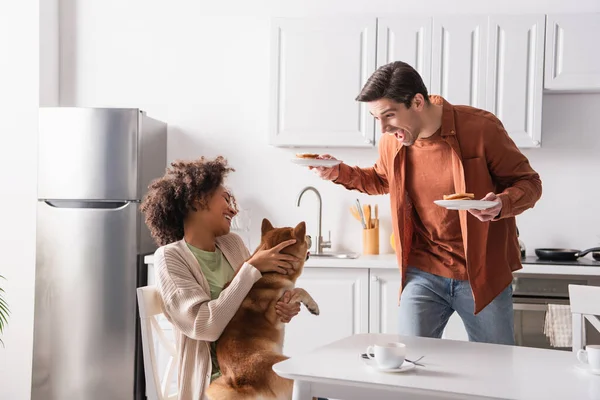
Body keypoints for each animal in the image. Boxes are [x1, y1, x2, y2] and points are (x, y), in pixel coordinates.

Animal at [206, 219, 318, 400]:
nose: (309, 236)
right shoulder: (276, 311)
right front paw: (313, 306)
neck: (269, 271)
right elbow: (299, 290)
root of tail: (243, 383)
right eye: (305, 238)